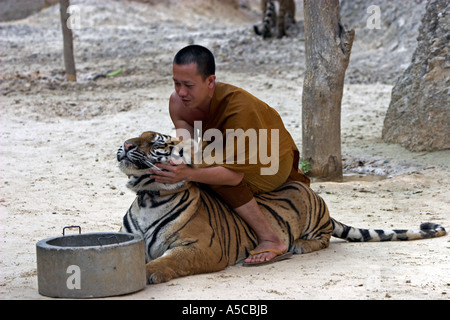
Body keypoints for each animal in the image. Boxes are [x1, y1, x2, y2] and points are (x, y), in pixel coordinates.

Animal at [116, 131, 446, 284]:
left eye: (157, 143)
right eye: (137, 137)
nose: (126, 145)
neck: (149, 197)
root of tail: (311, 189)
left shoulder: (203, 247)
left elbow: (169, 261)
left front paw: (148, 272)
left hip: (313, 219)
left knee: (325, 239)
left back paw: (299, 245)